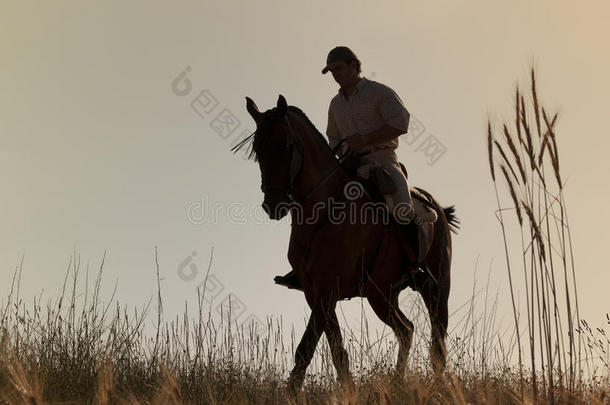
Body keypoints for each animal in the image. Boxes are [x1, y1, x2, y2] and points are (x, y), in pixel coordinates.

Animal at [230, 93, 458, 390]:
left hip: (438, 284)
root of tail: (438, 209)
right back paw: (397, 383)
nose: (274, 205)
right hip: (381, 294)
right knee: (406, 330)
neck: (324, 211)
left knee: (437, 340)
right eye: (258, 150)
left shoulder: (327, 290)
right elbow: (324, 348)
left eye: (287, 146)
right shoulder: (315, 292)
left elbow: (314, 346)